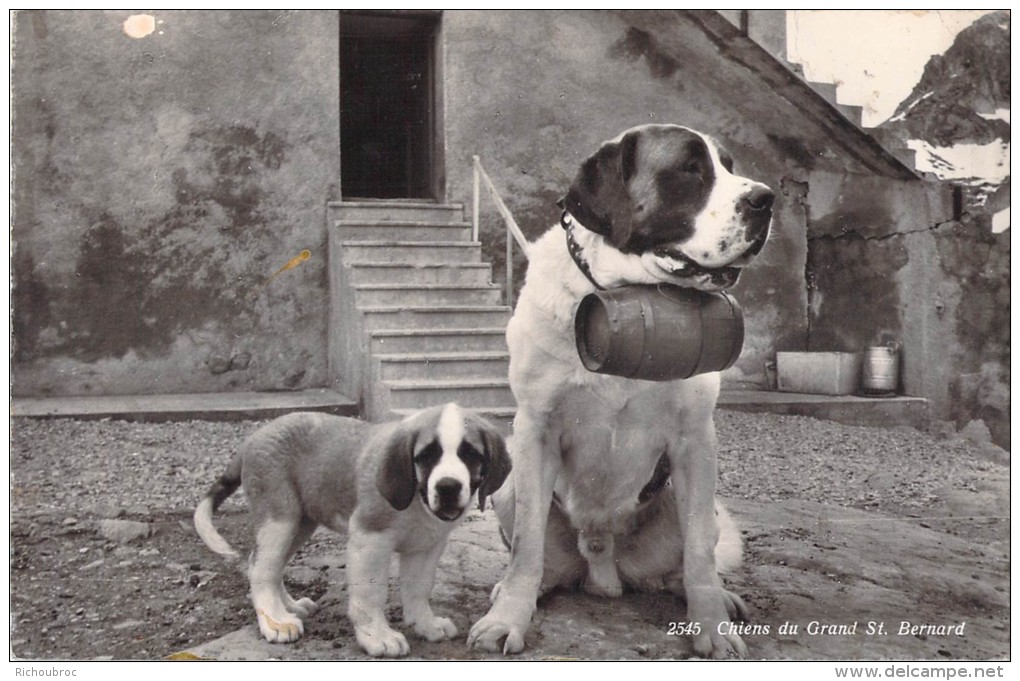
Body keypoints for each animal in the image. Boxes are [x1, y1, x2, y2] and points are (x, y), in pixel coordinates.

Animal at [192, 403, 510, 660]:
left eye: (470, 454)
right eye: (427, 455)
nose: (447, 487)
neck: (416, 501)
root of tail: (253, 437)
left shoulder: (426, 547)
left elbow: (418, 589)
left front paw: (425, 624)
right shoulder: (370, 539)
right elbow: (371, 594)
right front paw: (378, 637)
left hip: (299, 523)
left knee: (269, 566)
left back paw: (289, 607)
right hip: (279, 519)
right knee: (261, 568)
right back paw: (276, 621)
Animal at [469, 123, 771, 660]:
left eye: (729, 166)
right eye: (689, 169)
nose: (766, 198)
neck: (624, 291)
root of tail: (603, 565)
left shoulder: (695, 441)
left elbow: (699, 554)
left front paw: (712, 627)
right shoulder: (535, 431)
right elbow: (526, 547)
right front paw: (507, 618)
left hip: (702, 505)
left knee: (688, 562)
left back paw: (717, 597)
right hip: (507, 486)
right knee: (541, 560)